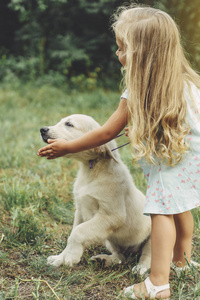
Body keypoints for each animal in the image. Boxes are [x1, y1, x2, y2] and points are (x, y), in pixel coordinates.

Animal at [39, 113, 151, 274]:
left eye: (69, 124)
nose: (42, 129)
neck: (92, 171)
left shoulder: (111, 215)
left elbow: (78, 232)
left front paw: (71, 257)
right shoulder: (80, 210)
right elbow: (73, 233)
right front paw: (60, 258)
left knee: (149, 256)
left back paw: (140, 269)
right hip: (110, 240)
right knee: (121, 257)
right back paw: (104, 260)